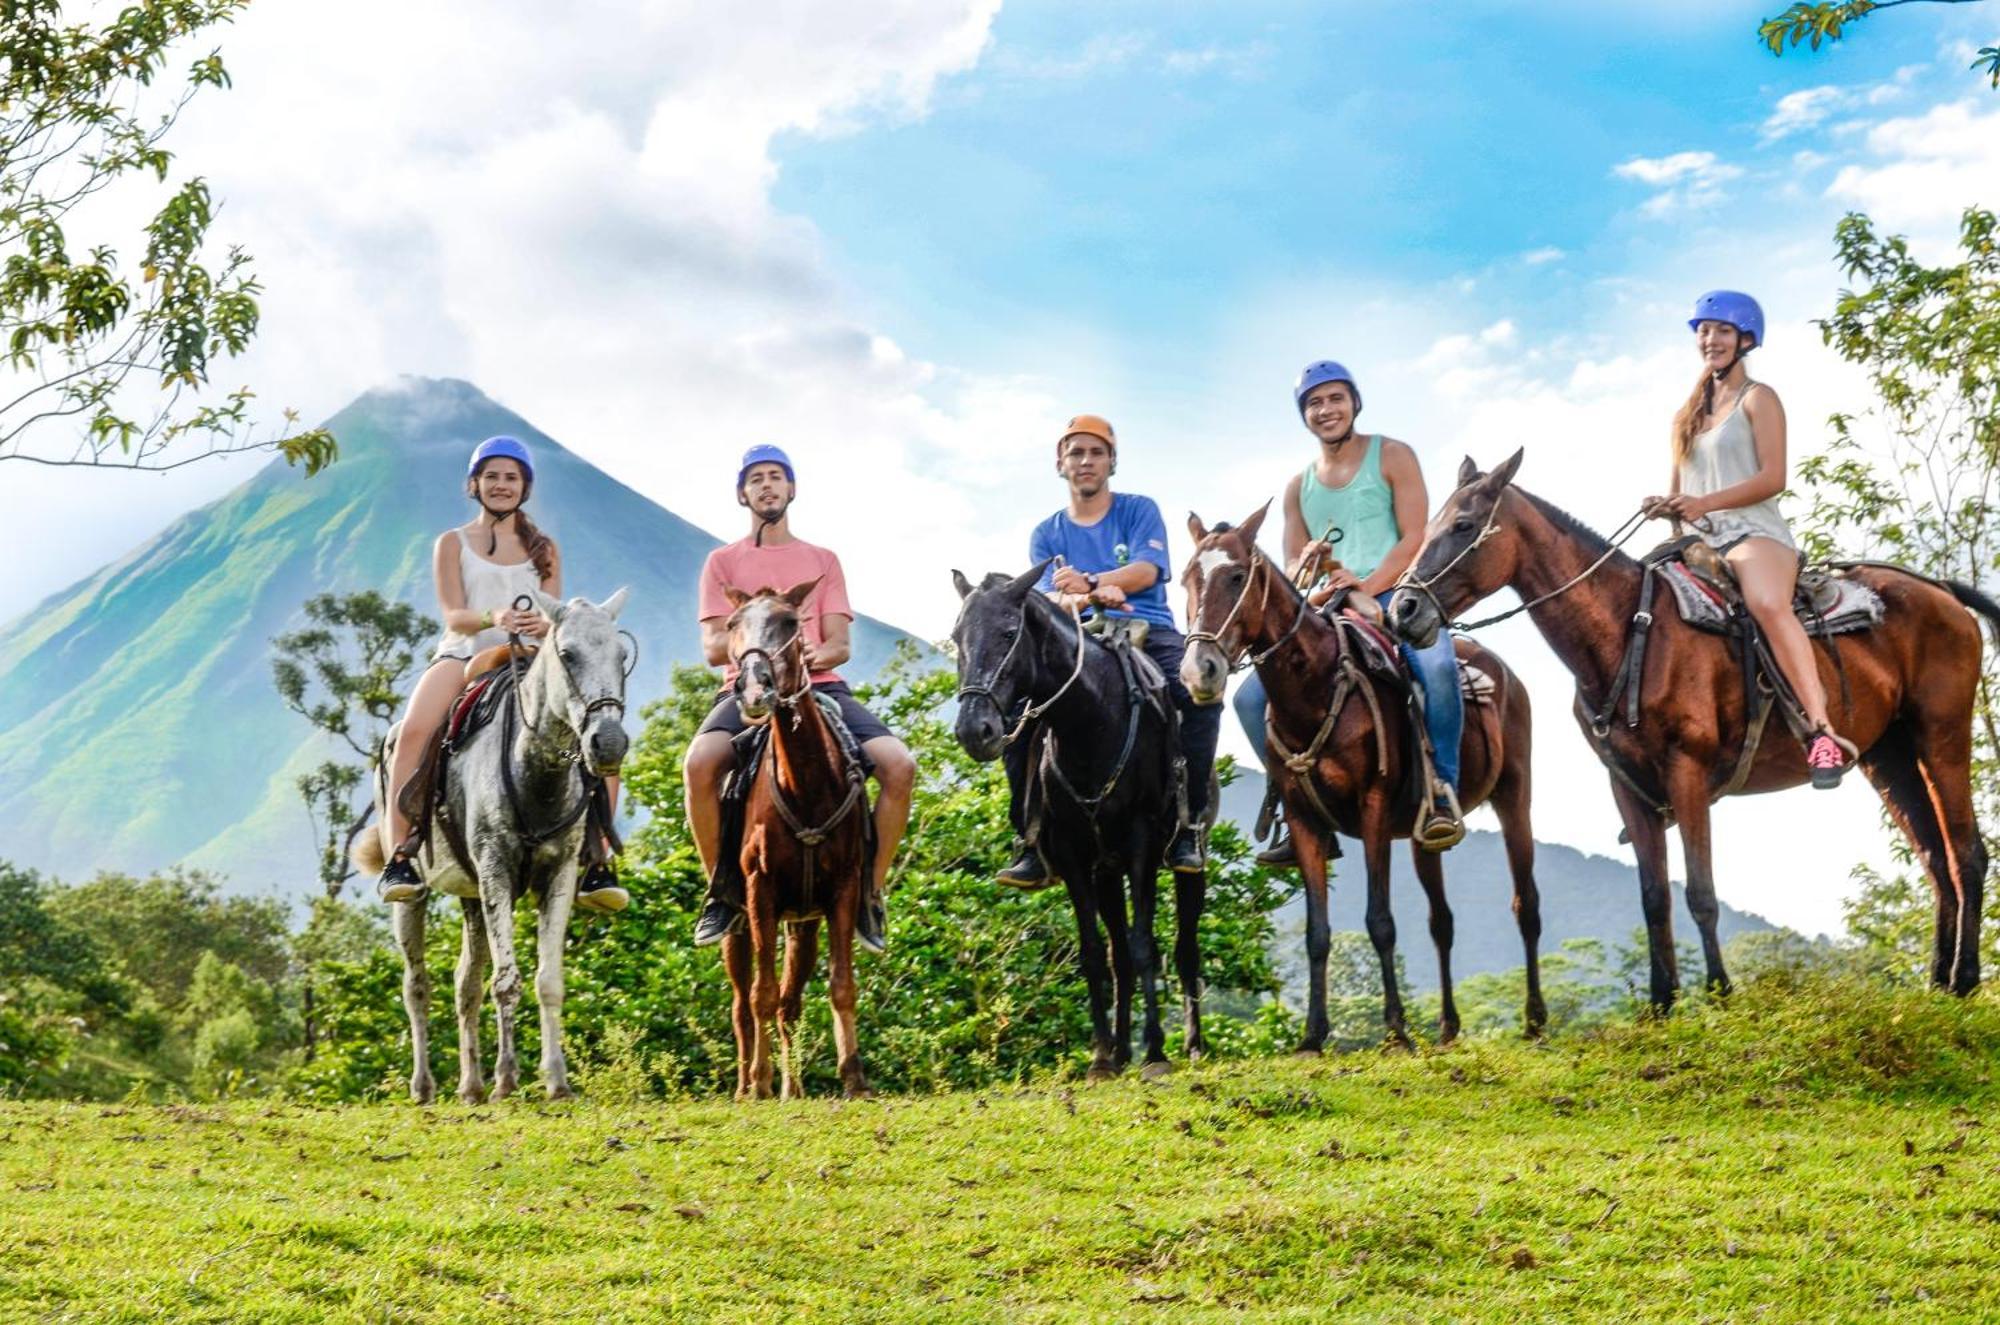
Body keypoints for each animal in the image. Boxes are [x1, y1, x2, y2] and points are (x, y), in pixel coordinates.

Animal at [356, 588, 628, 1096]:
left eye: (622, 656)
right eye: (567, 654)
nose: (609, 742)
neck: (535, 769)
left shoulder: (559, 874)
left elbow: (547, 980)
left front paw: (555, 1080)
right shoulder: (496, 870)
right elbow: (507, 981)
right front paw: (507, 1078)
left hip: (470, 893)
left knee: (465, 981)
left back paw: (471, 1086)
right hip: (417, 896)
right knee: (416, 984)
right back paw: (425, 1086)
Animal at [724, 580, 872, 1096]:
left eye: (790, 622)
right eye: (732, 624)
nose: (754, 688)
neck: (805, 784)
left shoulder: (844, 888)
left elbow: (841, 986)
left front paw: (854, 1077)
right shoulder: (759, 892)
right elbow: (761, 995)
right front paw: (760, 1082)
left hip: (802, 924)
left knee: (790, 1002)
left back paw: (793, 1088)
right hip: (736, 924)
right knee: (742, 1004)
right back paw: (746, 1085)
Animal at [952, 564, 1200, 1088]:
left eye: (1009, 633)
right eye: (956, 636)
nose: (973, 730)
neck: (1092, 719)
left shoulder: (1141, 845)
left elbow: (1145, 945)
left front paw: (1155, 1051)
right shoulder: (1070, 854)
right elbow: (1093, 953)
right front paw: (1103, 1056)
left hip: (1184, 860)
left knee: (1185, 948)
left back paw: (1191, 1044)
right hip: (1106, 872)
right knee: (1117, 957)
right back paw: (1122, 1050)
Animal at [1176, 508, 1552, 1048]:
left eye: (1235, 576)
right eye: (1186, 577)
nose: (1198, 671)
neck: (1315, 688)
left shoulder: (1372, 806)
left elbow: (1380, 921)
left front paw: (1396, 1030)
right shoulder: (1304, 819)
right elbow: (1317, 933)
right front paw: (1312, 1037)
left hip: (1514, 796)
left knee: (1527, 905)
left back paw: (1535, 1019)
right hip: (1422, 836)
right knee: (1442, 921)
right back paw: (1448, 1027)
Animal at [1392, 452, 2000, 1012]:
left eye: (1464, 525)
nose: (1404, 607)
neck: (1627, 632)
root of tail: (1940, 591)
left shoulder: (1687, 773)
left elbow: (1701, 892)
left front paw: (1720, 994)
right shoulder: (1628, 788)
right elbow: (1654, 897)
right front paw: (1663, 1005)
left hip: (1941, 734)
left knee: (1966, 852)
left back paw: (1966, 980)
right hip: (1888, 755)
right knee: (1934, 857)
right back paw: (1938, 984)